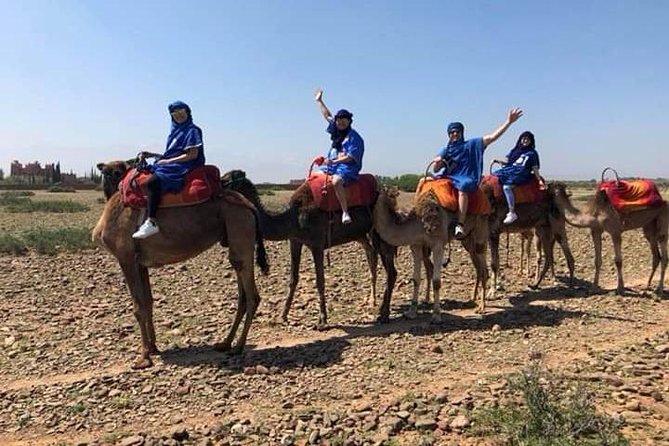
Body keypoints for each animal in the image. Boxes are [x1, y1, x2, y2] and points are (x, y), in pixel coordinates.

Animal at [93, 161, 269, 369]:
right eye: (106, 172)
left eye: (116, 173)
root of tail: (250, 206)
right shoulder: (140, 262)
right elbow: (147, 302)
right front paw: (153, 347)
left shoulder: (125, 257)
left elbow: (137, 307)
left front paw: (143, 358)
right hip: (236, 239)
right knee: (241, 287)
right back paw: (225, 343)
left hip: (240, 226)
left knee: (252, 296)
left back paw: (238, 346)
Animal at [221, 170, 398, 327]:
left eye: (225, 180)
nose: (217, 191)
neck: (294, 217)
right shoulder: (295, 241)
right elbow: (293, 278)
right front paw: (283, 316)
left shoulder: (317, 244)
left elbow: (320, 281)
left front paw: (322, 320)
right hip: (362, 234)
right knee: (372, 254)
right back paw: (374, 303)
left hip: (381, 230)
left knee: (391, 270)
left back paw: (384, 314)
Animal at [372, 186, 489, 321]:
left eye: (393, 195)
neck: (418, 224)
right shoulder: (416, 244)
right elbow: (416, 279)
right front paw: (411, 312)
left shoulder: (438, 244)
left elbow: (436, 281)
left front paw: (436, 315)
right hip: (467, 239)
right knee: (479, 267)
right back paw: (473, 300)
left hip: (481, 228)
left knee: (484, 267)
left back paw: (482, 307)